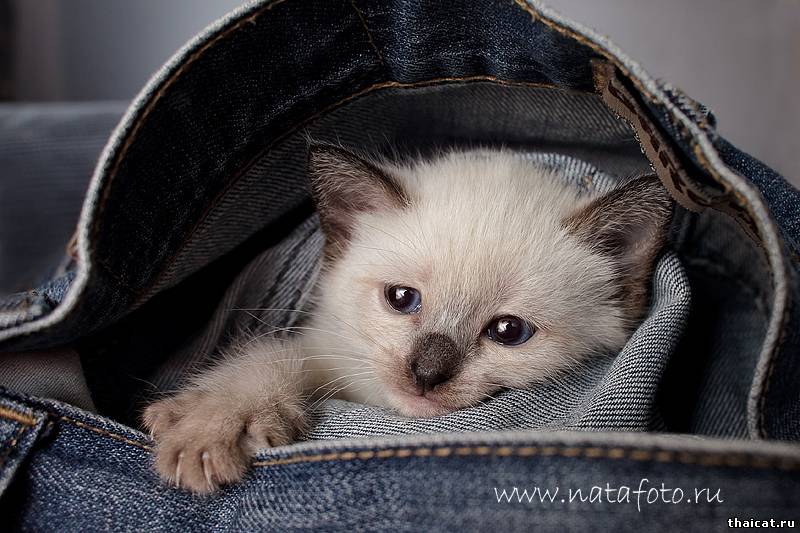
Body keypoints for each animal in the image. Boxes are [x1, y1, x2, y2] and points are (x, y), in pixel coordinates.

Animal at [143, 145, 673, 493]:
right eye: (401, 299)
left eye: (508, 331)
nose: (425, 373)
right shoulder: (328, 355)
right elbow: (271, 355)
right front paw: (212, 426)